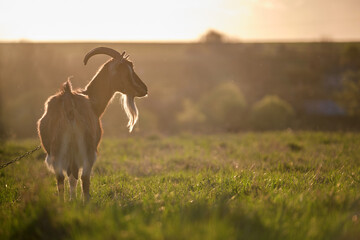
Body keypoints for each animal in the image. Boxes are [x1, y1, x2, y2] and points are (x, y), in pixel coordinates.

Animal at [37, 47, 148, 201]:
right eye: (125, 70)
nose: (144, 89)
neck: (91, 100)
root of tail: (69, 102)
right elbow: (76, 178)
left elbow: (71, 178)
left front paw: (72, 201)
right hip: (88, 149)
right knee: (84, 178)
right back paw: (87, 201)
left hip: (57, 150)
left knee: (61, 179)